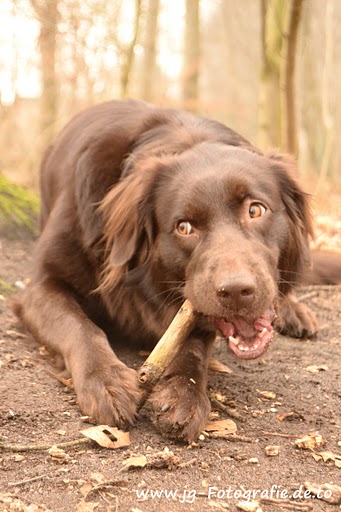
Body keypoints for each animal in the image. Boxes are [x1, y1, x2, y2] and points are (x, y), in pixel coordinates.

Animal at [14, 99, 318, 440]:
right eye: (184, 227)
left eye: (255, 210)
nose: (236, 291)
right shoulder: (40, 287)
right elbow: (79, 326)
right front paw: (107, 380)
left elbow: (190, 346)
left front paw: (184, 391)